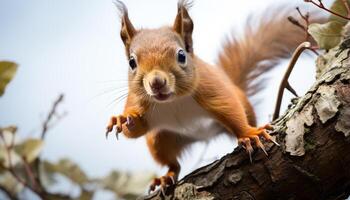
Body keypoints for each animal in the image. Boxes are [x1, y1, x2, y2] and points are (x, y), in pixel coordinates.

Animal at [105, 0, 314, 193]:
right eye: (132, 62)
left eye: (181, 55)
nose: (156, 83)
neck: (173, 101)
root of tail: (201, 137)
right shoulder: (138, 101)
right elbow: (134, 132)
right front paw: (124, 118)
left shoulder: (210, 89)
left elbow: (229, 108)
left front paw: (248, 134)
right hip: (160, 139)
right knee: (173, 163)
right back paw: (165, 178)